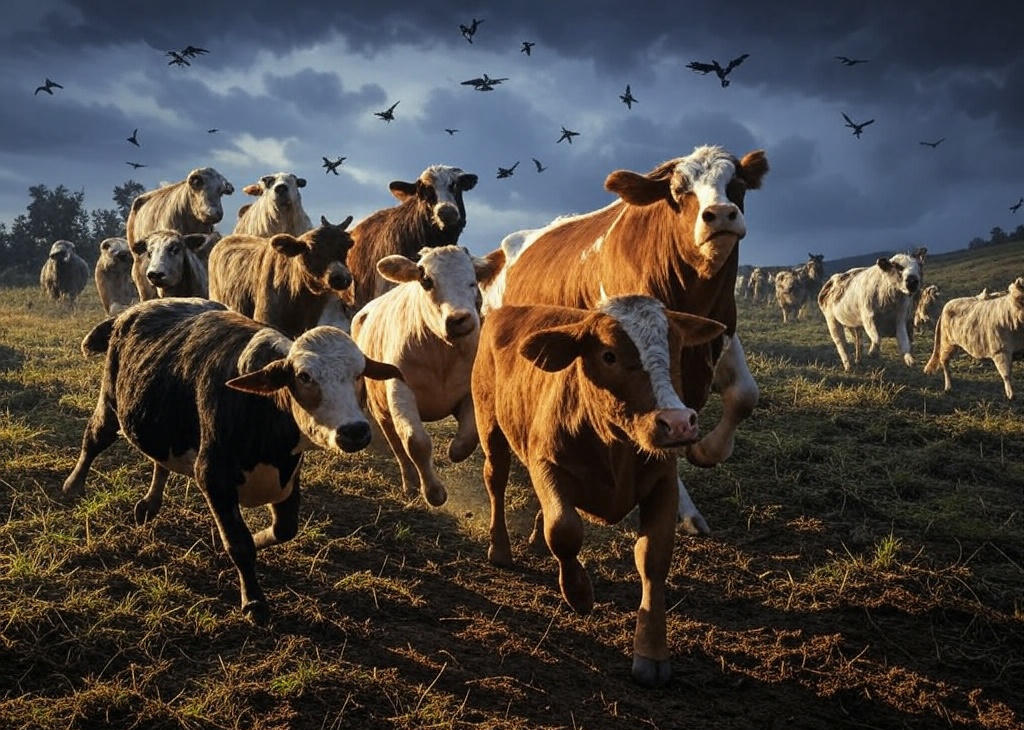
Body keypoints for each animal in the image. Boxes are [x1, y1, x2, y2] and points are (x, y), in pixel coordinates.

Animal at [61, 298, 403, 622]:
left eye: (359, 373)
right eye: (304, 376)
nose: (355, 431)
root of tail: (130, 312)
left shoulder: (287, 476)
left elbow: (284, 529)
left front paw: (254, 540)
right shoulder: (214, 478)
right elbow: (239, 543)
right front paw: (253, 600)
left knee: (161, 460)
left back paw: (150, 504)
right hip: (111, 403)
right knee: (94, 438)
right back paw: (73, 486)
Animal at [351, 245, 505, 507]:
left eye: (473, 281)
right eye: (426, 280)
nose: (459, 319)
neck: (441, 354)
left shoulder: (470, 389)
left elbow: (468, 436)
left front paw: (454, 451)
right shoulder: (399, 387)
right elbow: (416, 442)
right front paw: (434, 492)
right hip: (380, 408)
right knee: (397, 445)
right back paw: (411, 483)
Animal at [473, 295, 726, 687]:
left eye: (676, 346)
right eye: (609, 355)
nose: (678, 423)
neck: (614, 442)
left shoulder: (663, 483)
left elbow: (653, 558)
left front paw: (651, 650)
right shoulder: (547, 465)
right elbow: (564, 530)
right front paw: (578, 593)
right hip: (491, 426)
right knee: (496, 481)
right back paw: (500, 548)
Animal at [497, 144, 769, 535]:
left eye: (739, 186)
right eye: (678, 189)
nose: (720, 215)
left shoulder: (718, 335)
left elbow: (745, 395)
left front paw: (705, 451)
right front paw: (685, 508)